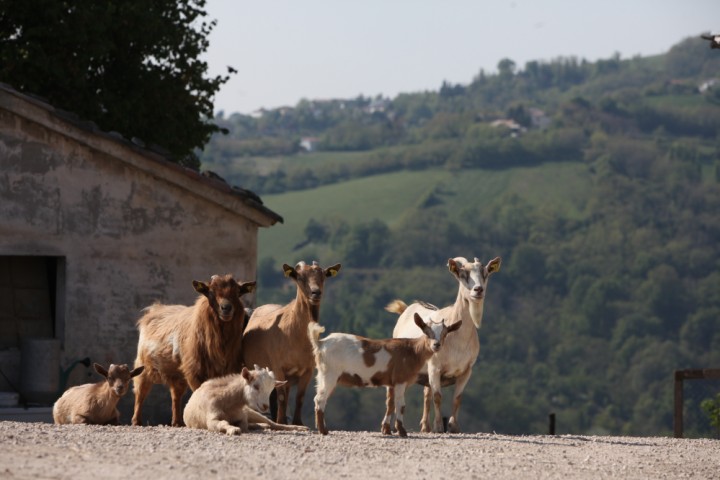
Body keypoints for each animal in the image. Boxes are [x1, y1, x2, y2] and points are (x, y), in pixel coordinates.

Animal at [132, 274, 256, 428]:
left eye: (238, 292)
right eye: (210, 292)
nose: (226, 308)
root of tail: (154, 309)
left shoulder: (229, 368)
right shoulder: (194, 371)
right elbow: (199, 392)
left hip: (177, 374)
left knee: (176, 395)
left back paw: (177, 422)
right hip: (143, 366)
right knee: (140, 392)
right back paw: (137, 421)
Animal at [242, 260, 344, 426]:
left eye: (323, 276)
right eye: (300, 277)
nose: (316, 293)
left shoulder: (308, 370)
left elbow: (300, 397)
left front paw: (298, 422)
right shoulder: (278, 366)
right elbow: (282, 397)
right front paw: (281, 421)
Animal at [310, 314, 462, 436]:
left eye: (445, 333)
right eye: (426, 332)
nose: (436, 345)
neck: (412, 351)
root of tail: (321, 343)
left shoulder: (392, 383)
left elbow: (391, 404)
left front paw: (388, 430)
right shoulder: (400, 380)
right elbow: (401, 405)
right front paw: (402, 432)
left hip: (322, 375)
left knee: (319, 398)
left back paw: (322, 428)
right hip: (330, 374)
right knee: (320, 399)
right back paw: (323, 431)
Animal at [388, 256, 500, 434]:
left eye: (485, 273)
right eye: (462, 274)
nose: (478, 290)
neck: (458, 340)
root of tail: (406, 309)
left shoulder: (466, 371)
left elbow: (457, 398)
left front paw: (454, 427)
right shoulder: (435, 368)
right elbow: (437, 397)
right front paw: (439, 427)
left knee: (426, 394)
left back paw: (424, 427)